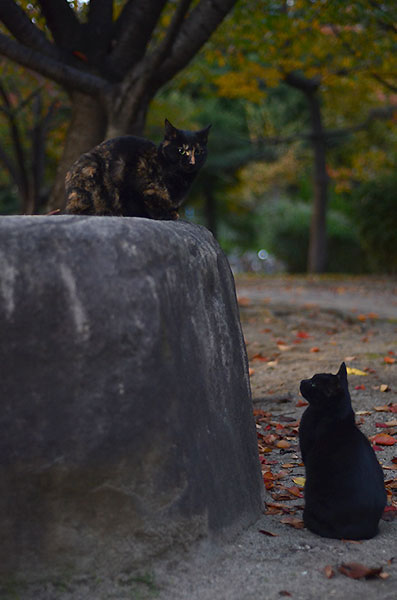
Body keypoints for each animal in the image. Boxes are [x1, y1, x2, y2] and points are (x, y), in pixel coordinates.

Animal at [64, 118, 210, 219]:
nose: (192, 162)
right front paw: (163, 214)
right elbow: (143, 203)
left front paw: (172, 212)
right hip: (91, 168)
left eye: (198, 152)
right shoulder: (131, 181)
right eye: (181, 150)